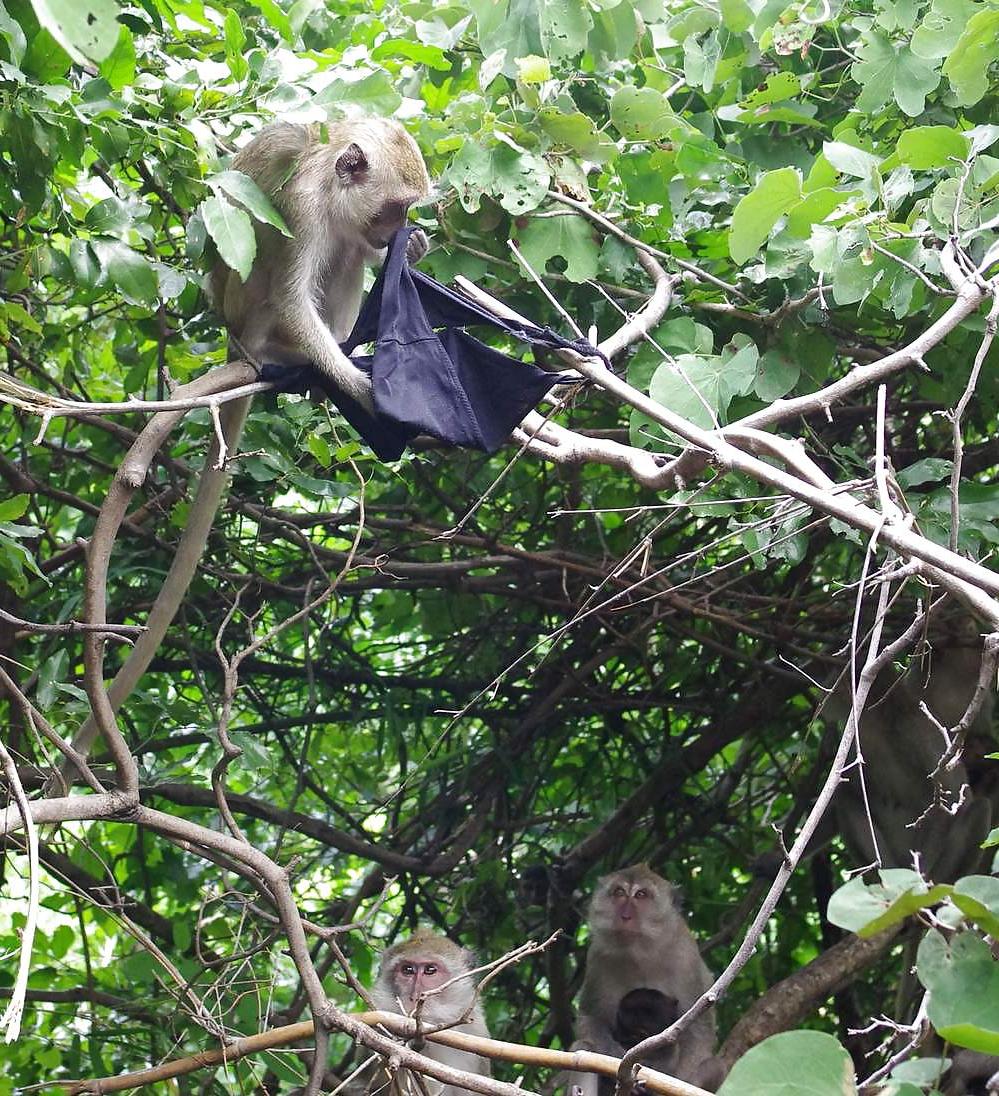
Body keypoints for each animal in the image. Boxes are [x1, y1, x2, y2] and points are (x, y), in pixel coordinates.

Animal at [212, 118, 432, 410]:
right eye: (396, 207)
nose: (400, 227)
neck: (327, 183)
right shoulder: (302, 207)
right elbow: (290, 299)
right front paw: (360, 387)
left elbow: (362, 246)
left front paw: (412, 247)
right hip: (240, 307)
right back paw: (265, 349)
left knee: (349, 252)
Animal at [566, 865, 724, 1095]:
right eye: (619, 892)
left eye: (641, 895)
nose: (625, 916)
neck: (639, 951)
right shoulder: (597, 957)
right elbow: (591, 1020)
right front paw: (619, 1061)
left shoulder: (686, 959)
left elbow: (698, 1033)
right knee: (582, 1047)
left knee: (715, 1067)